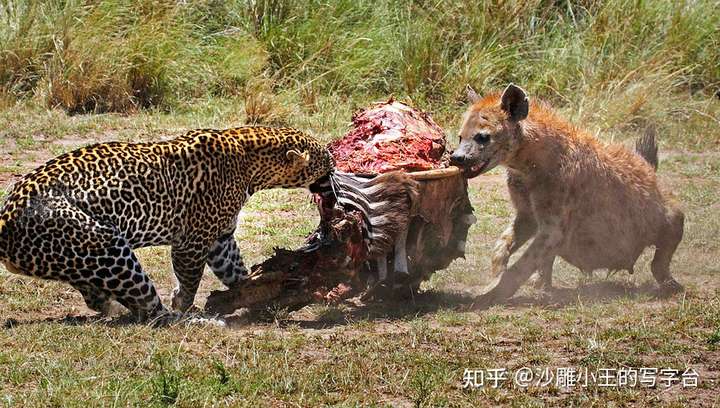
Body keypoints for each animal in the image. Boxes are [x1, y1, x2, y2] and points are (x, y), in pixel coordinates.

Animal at [0, 126, 336, 324]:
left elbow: (234, 270)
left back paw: (108, 305)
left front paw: (254, 289)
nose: (335, 173)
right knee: (152, 312)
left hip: (79, 257)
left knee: (97, 295)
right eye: (327, 162)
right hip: (107, 247)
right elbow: (190, 279)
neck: (250, 162)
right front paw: (183, 302)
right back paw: (194, 320)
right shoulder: (192, 242)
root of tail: (5, 218)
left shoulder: (220, 238)